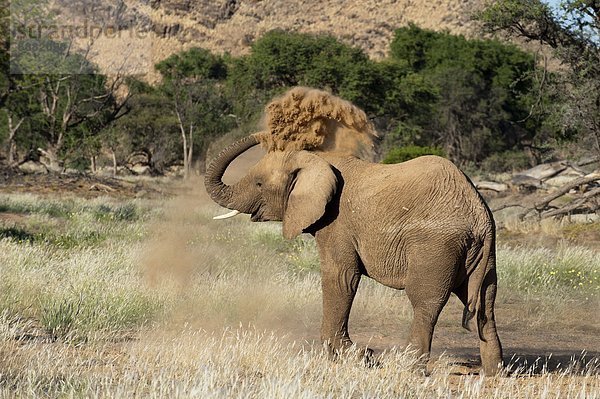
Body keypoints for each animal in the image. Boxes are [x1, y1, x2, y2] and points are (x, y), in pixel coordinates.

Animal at [204, 134, 504, 376]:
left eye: (258, 184)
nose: (261, 134)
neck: (318, 159)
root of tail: (479, 216)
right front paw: (358, 356)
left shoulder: (337, 222)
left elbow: (341, 277)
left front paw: (356, 357)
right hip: (481, 254)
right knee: (486, 303)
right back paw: (494, 373)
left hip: (436, 246)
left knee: (425, 303)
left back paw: (409, 369)